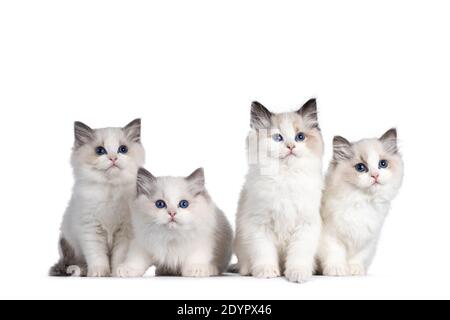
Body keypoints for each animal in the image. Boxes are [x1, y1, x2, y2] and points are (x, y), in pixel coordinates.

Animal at [49, 119, 145, 276]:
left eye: (123, 149)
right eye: (100, 151)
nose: (113, 158)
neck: (110, 190)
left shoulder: (125, 231)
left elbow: (119, 257)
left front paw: (116, 273)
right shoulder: (91, 229)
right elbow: (97, 257)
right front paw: (99, 273)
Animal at [234, 99, 326, 282]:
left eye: (300, 137)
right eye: (278, 138)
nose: (290, 146)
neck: (286, 177)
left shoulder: (305, 225)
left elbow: (298, 256)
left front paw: (297, 274)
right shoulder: (260, 224)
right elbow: (264, 253)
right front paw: (267, 272)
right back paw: (247, 271)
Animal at [316, 129, 404, 276]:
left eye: (383, 164)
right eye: (361, 167)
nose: (375, 175)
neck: (362, 201)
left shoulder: (367, 239)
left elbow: (358, 257)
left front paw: (355, 270)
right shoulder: (330, 234)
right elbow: (335, 253)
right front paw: (337, 270)